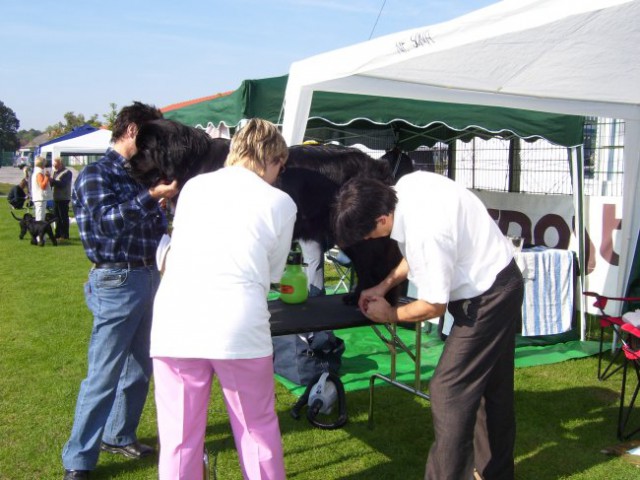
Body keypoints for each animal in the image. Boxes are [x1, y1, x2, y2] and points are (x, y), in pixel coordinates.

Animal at [129, 118, 410, 304]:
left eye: (144, 149)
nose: (126, 162)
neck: (194, 162)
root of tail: (378, 164)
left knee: (374, 264)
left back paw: (364, 297)